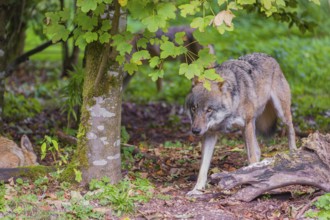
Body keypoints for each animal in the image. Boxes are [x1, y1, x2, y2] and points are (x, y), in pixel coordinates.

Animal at [186, 52, 296, 196]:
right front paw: (197, 190)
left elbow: (251, 157)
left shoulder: (246, 124)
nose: (195, 131)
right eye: (194, 108)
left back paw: (294, 152)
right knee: (258, 150)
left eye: (209, 110)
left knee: (291, 129)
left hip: (280, 113)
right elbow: (203, 167)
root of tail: (268, 56)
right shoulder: (210, 133)